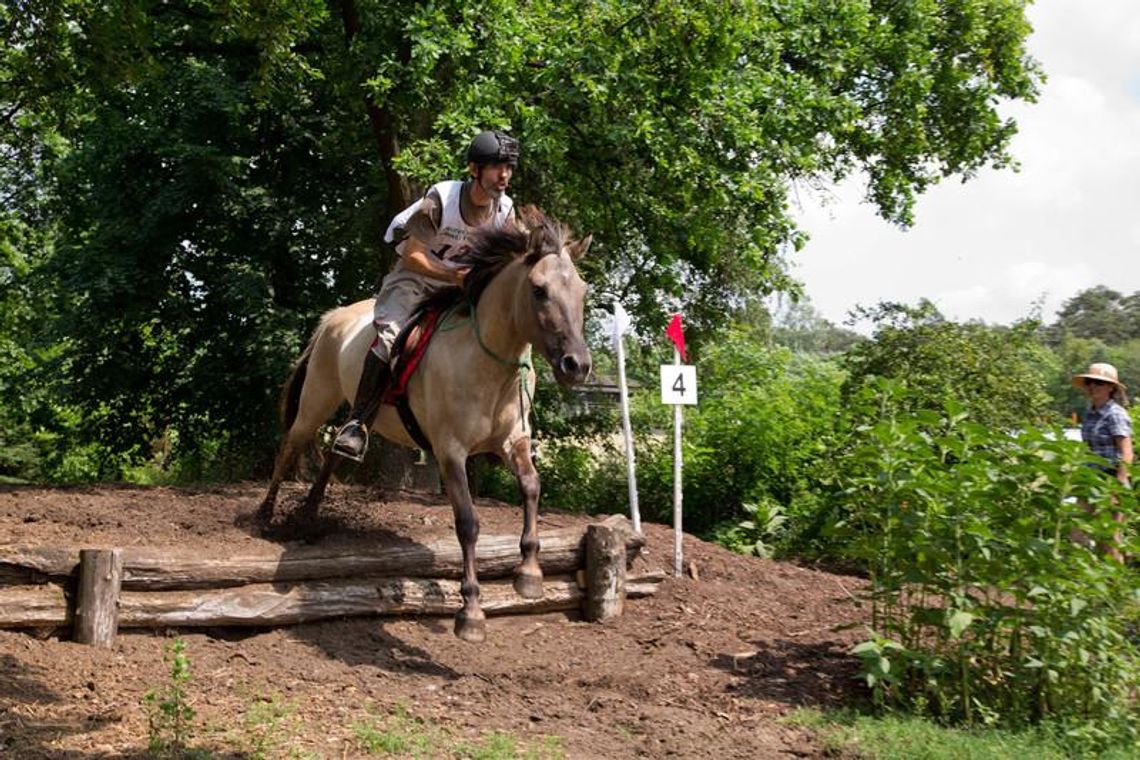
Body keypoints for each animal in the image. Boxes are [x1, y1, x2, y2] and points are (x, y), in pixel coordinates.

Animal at [257, 206, 592, 642]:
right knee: (289, 447)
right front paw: (471, 611)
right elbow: (468, 522)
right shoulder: (451, 451)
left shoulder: (513, 441)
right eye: (538, 290)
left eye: (583, 293)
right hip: (317, 398)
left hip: (351, 408)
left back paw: (311, 514)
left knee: (335, 449)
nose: (577, 366)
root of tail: (335, 316)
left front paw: (529, 574)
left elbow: (532, 487)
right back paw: (265, 515)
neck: (489, 360)